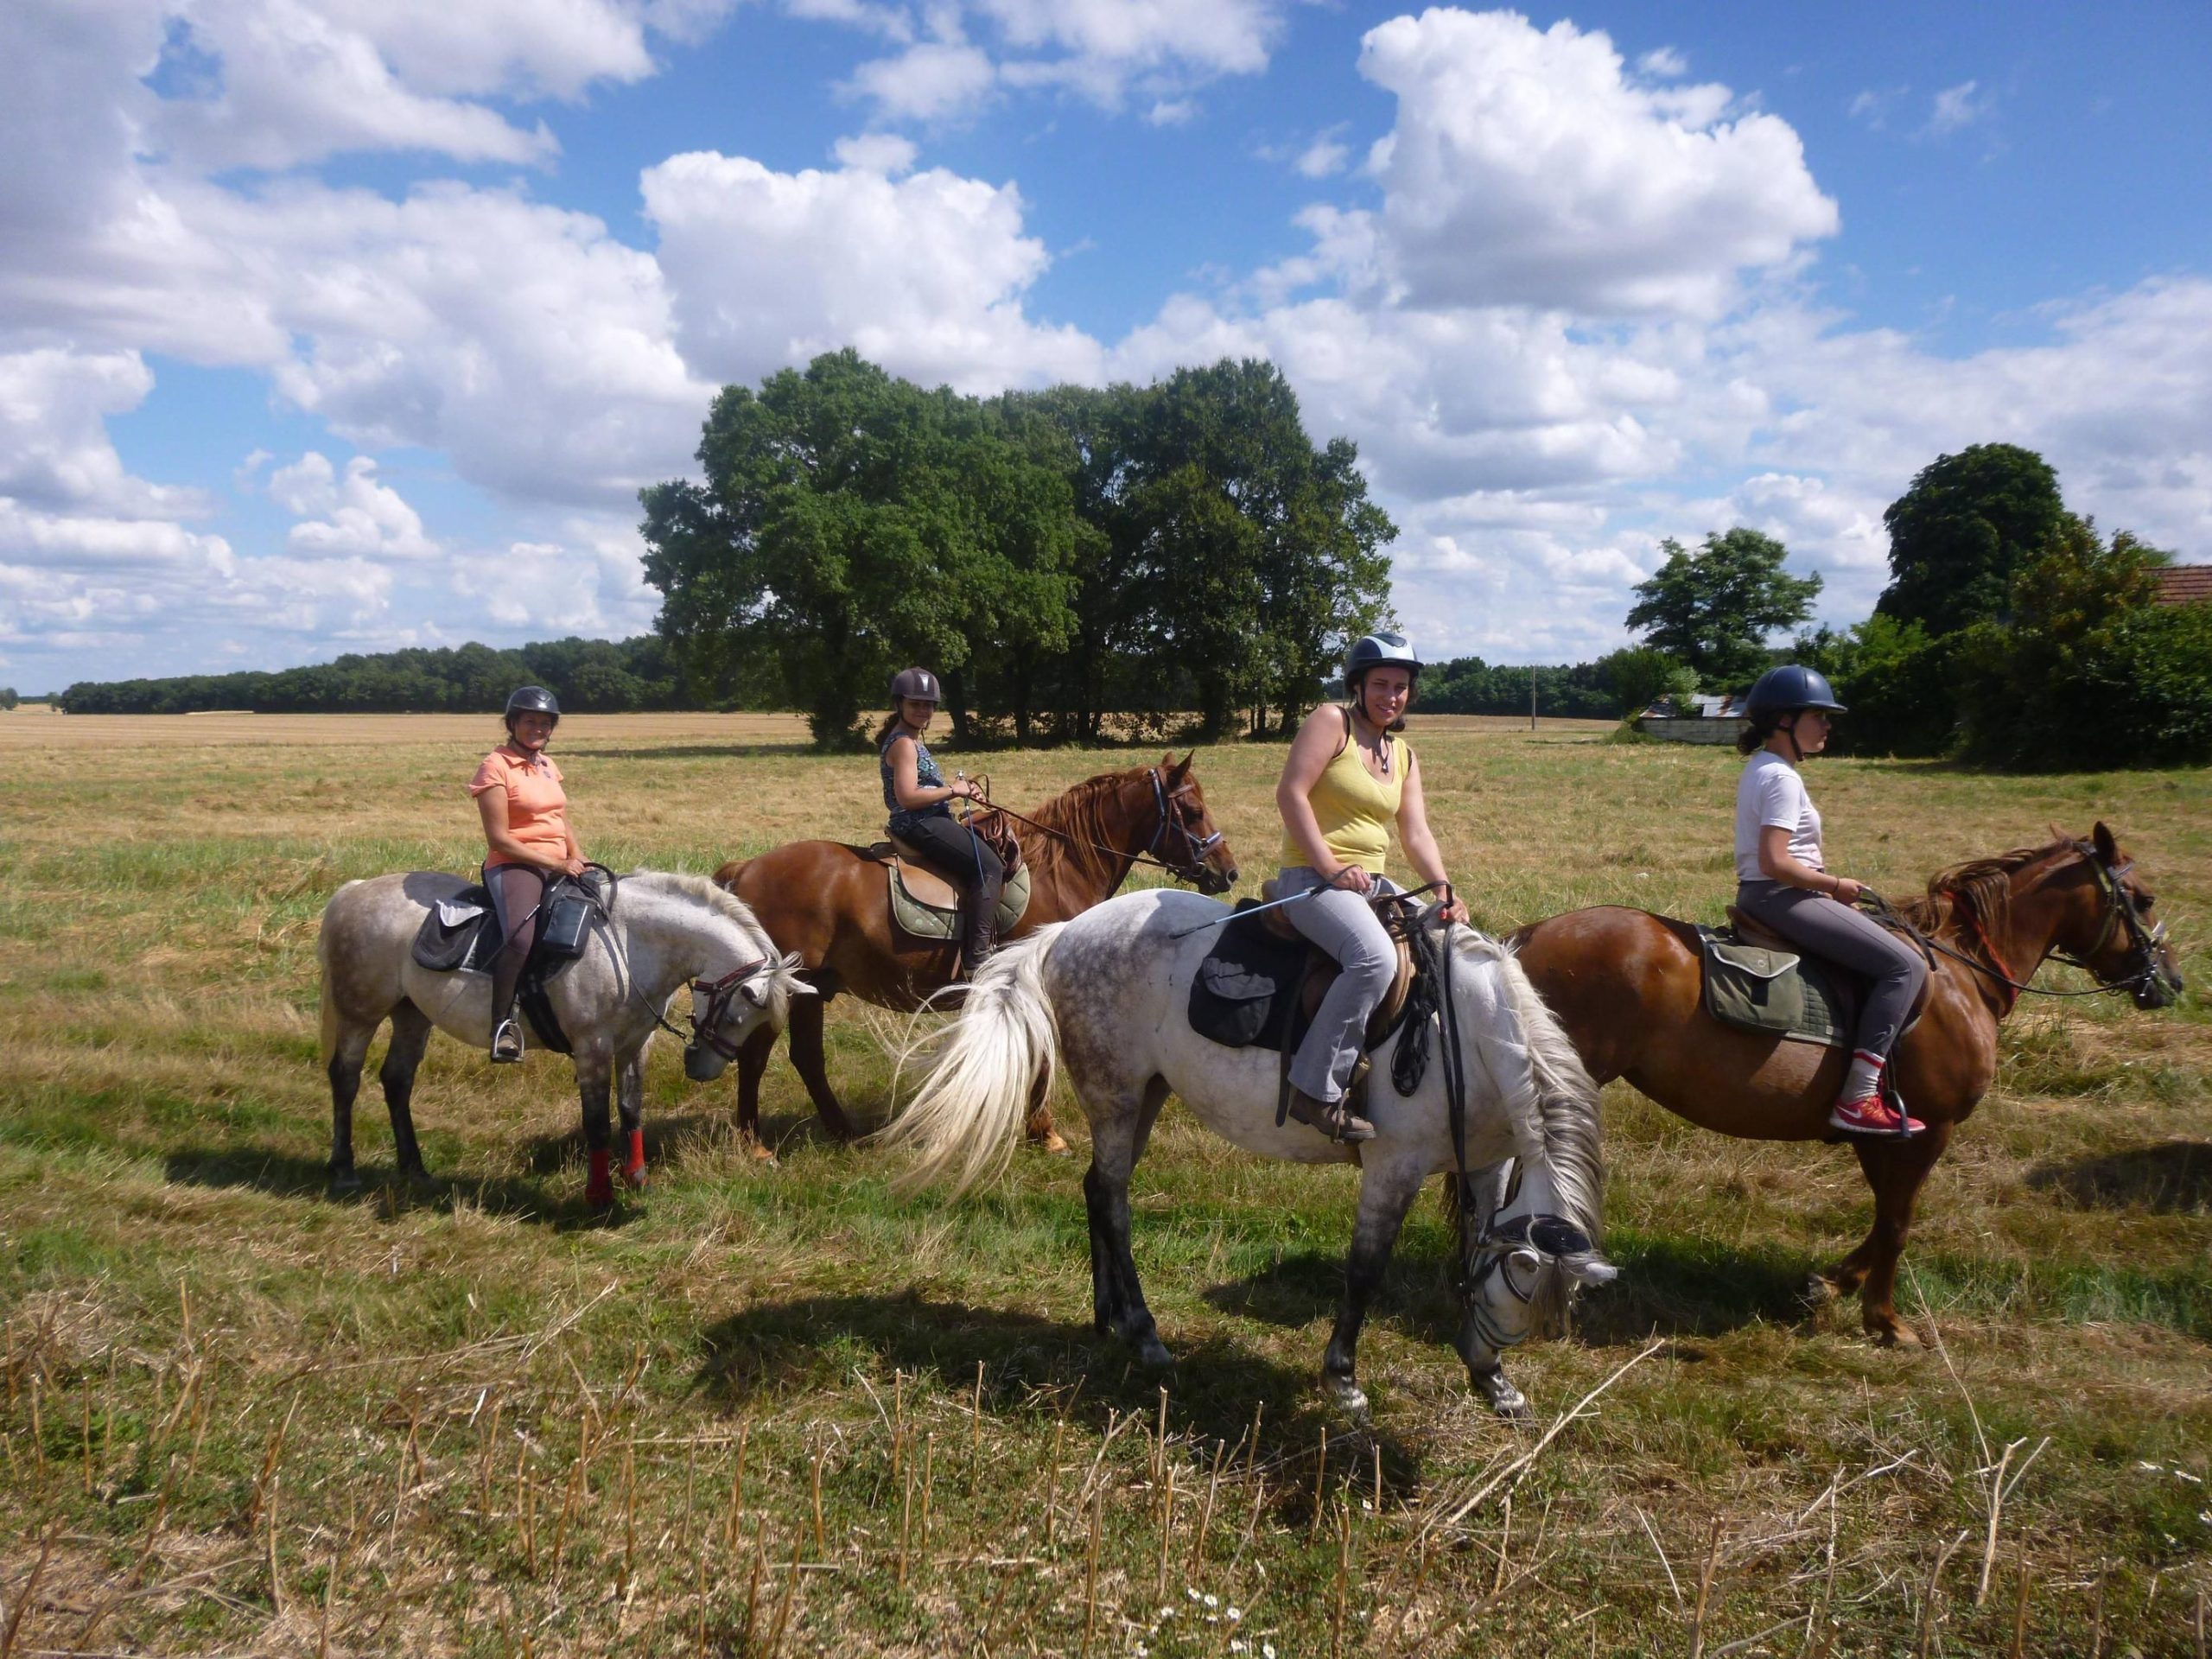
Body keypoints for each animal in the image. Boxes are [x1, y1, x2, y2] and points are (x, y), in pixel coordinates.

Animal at [321, 871, 814, 1211]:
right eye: (736, 1014)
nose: (702, 1069)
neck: (628, 945)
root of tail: (354, 892)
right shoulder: (591, 1048)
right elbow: (596, 1123)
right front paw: (600, 1196)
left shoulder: (635, 1044)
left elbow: (631, 1110)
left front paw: (638, 1178)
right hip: (360, 1014)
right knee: (345, 1078)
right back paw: (343, 1169)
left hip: (412, 1014)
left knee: (397, 1080)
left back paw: (415, 1169)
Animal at [712, 756, 1247, 1159]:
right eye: (1192, 811)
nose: (1228, 872)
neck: (1061, 870)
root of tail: (749, 867)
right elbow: (1042, 1059)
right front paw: (1045, 1133)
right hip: (782, 989)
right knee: (756, 1057)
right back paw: (754, 1145)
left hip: (815, 987)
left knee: (806, 1058)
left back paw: (843, 1132)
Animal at [871, 889, 1618, 1424]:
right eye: (1522, 1293)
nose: (1485, 1354)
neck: (1461, 1030)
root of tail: (1068, 930)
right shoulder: (1394, 1168)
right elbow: (1364, 1272)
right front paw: (1344, 1379)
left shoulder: (1489, 1164)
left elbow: (1471, 1243)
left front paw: (1495, 1383)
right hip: (1115, 1095)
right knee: (1113, 1203)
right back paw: (1144, 1333)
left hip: (1146, 1095)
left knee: (1096, 1190)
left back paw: (1108, 1316)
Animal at [1513, 823, 2185, 1353]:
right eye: (2145, 898)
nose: (2173, 981)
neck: (1960, 975)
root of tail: (1532, 935)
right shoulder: (1928, 1130)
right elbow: (1899, 1223)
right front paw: (1886, 1320)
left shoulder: (1881, 1132)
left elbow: (1884, 1214)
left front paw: (1833, 1281)